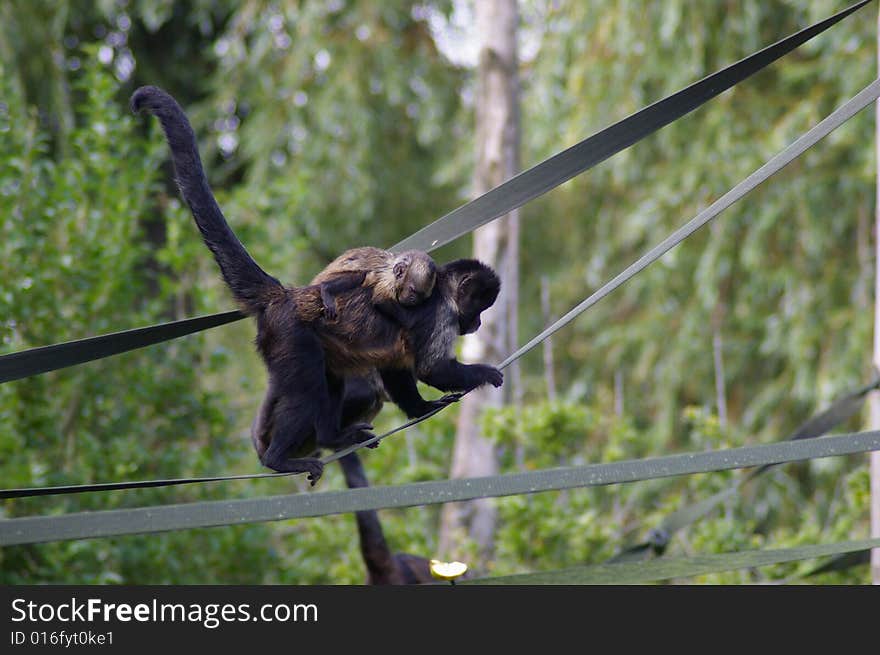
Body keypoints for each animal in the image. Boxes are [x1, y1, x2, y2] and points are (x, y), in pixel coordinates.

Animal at [131, 84, 502, 484]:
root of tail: (288, 297)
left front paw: (420, 408)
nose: (478, 323)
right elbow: (430, 369)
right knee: (307, 390)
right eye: (477, 308)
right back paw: (279, 458)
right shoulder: (441, 316)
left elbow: (396, 367)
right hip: (290, 337)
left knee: (331, 380)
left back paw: (330, 436)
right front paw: (484, 374)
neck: (443, 290)